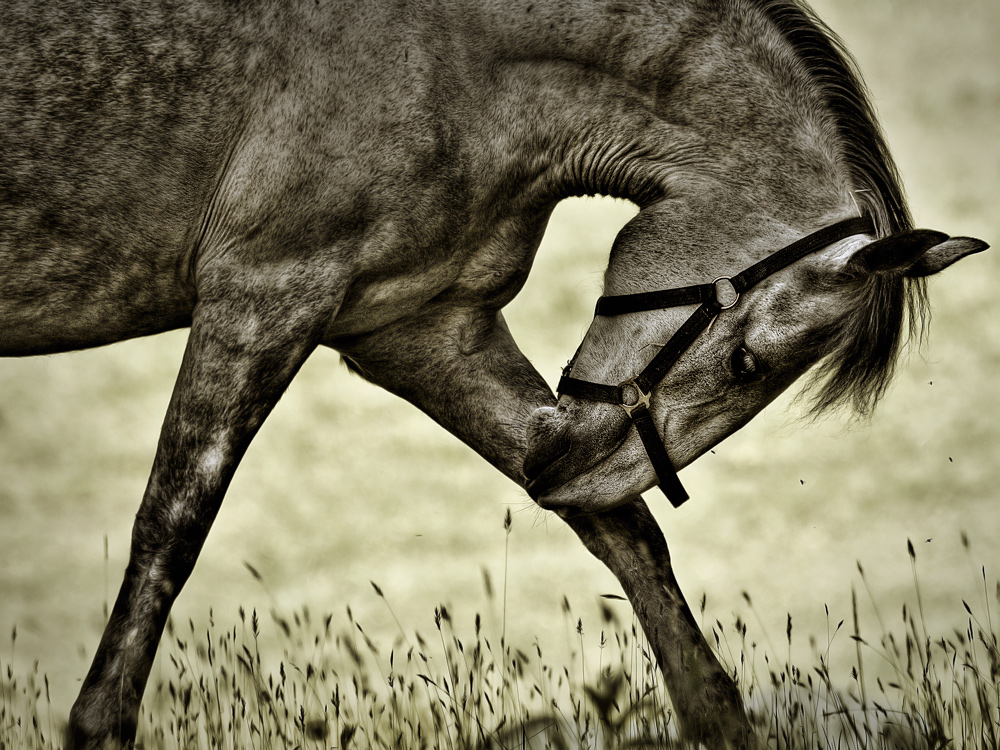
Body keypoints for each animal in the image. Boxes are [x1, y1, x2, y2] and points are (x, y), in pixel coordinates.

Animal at [0, 0, 984, 748]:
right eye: (748, 363)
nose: (558, 472)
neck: (457, 61)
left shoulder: (420, 327)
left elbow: (629, 537)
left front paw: (719, 719)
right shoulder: (263, 296)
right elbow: (171, 526)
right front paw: (97, 726)